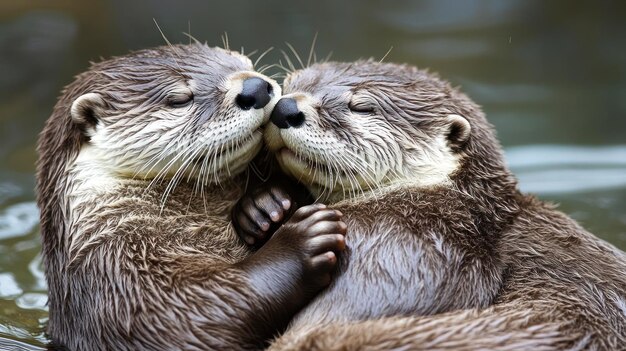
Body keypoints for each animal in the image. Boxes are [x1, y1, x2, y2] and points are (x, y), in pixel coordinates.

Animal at [36, 44, 344, 351]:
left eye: (244, 63)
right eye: (180, 99)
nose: (255, 88)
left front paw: (266, 203)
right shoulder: (116, 278)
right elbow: (201, 313)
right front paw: (300, 240)